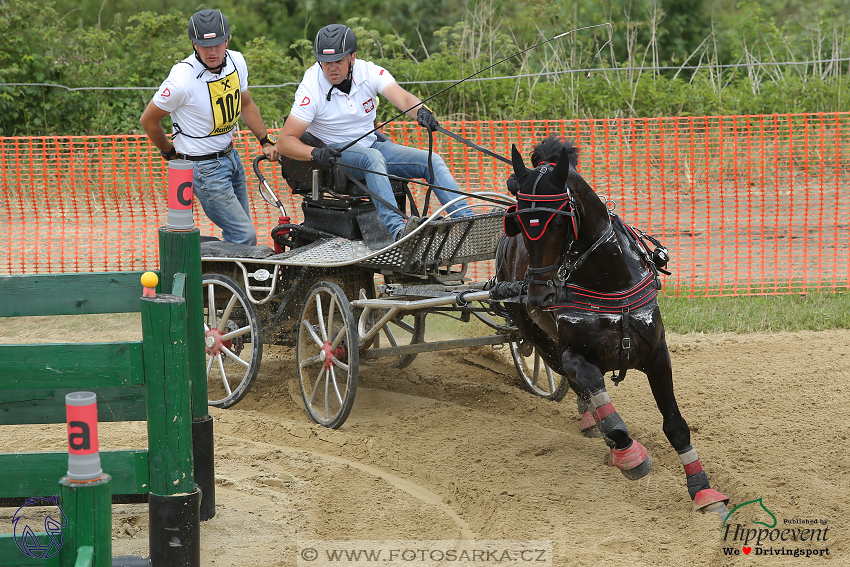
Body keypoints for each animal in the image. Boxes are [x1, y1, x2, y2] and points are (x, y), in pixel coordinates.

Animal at [496, 138, 728, 520]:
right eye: (519, 221)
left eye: (556, 224)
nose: (539, 294)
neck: (609, 279)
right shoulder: (572, 352)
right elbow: (594, 389)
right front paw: (627, 452)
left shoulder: (657, 354)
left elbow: (675, 425)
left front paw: (704, 492)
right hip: (535, 336)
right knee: (576, 383)